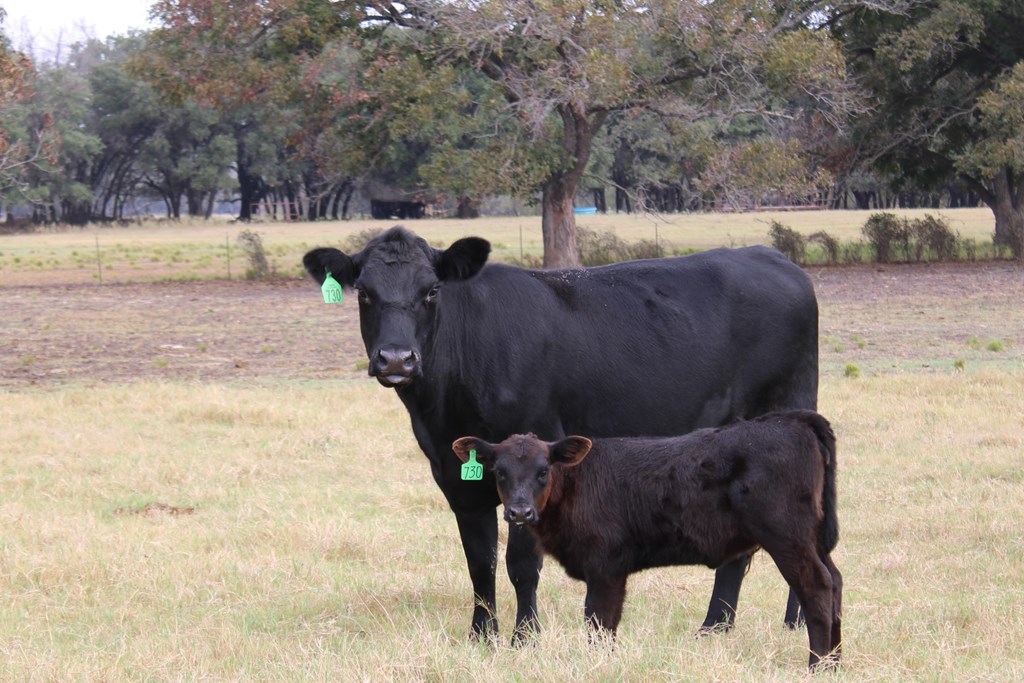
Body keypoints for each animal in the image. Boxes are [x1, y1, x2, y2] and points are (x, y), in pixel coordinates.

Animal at [299, 227, 819, 643]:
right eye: (364, 293)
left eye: (431, 291)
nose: (396, 359)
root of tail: (770, 257)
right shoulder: (457, 477)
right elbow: (480, 561)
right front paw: (481, 636)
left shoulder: (535, 465)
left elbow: (521, 563)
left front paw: (525, 637)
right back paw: (734, 626)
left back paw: (747, 623)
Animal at [452, 411, 843, 671]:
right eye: (499, 472)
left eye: (543, 470)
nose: (519, 512)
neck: (577, 485)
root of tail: (791, 420)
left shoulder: (605, 568)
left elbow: (598, 622)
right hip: (812, 541)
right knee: (836, 582)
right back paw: (836, 663)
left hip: (788, 537)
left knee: (817, 588)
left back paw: (817, 666)